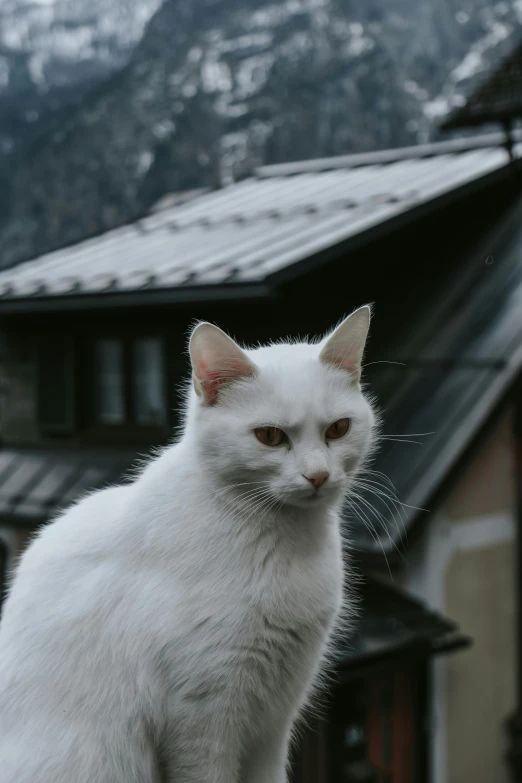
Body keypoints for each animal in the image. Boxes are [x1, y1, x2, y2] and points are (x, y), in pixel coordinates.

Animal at [0, 306, 374, 783]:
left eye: (339, 429)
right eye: (270, 436)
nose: (318, 475)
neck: (280, 540)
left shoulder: (274, 720)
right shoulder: (201, 716)